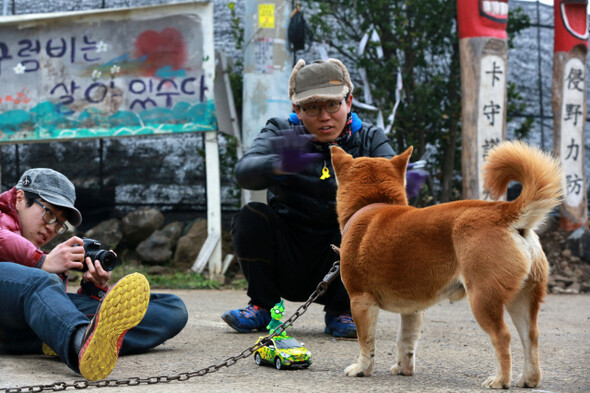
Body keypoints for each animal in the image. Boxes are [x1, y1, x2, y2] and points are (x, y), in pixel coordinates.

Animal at [332, 139, 564, 388]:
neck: (372, 204)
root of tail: (503, 212)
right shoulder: (413, 309)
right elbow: (405, 341)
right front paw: (404, 368)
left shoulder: (361, 301)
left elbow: (366, 342)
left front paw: (361, 369)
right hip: (523, 299)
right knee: (530, 337)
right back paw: (528, 379)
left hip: (483, 299)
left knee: (503, 337)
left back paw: (500, 380)